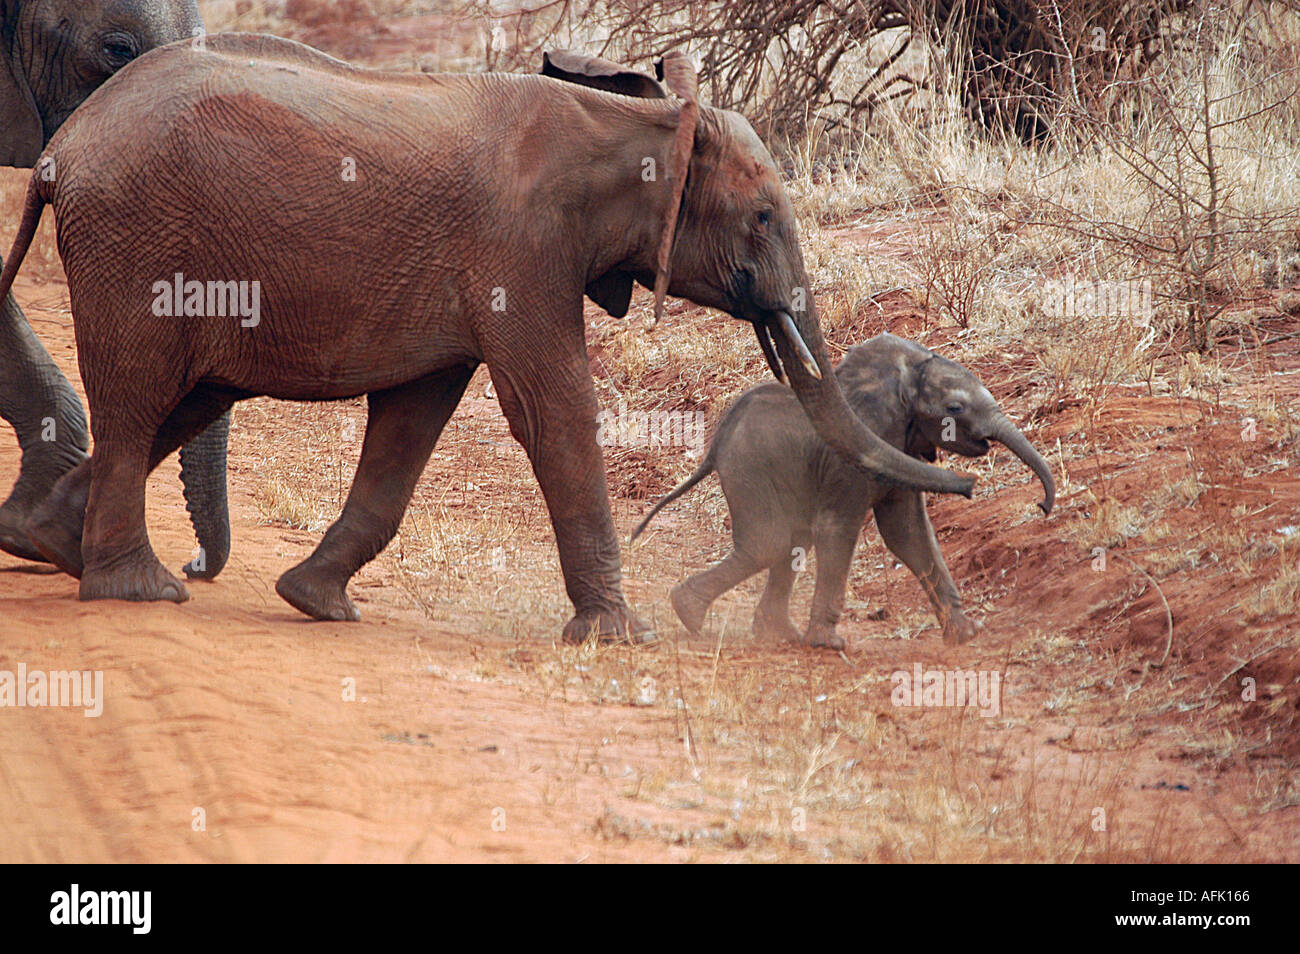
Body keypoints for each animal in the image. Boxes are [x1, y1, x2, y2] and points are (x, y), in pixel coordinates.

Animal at [631, 332, 1055, 655]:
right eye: (955, 407)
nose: (1043, 504)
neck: (903, 373)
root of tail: (717, 440)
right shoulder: (852, 456)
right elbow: (839, 528)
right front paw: (828, 644)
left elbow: (909, 534)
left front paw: (967, 634)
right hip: (749, 467)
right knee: (770, 543)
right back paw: (689, 614)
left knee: (791, 541)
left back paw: (774, 633)